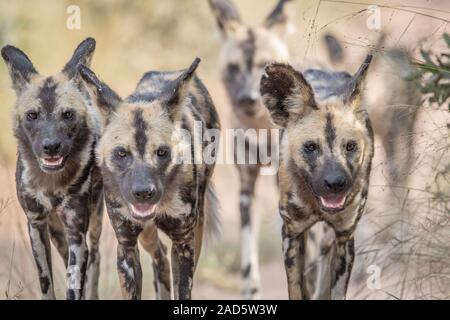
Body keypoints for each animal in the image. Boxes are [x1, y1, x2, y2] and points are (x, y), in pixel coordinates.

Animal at [0, 38, 103, 300]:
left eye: (67, 114)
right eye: (32, 115)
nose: (51, 146)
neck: (51, 184)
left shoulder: (77, 233)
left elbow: (74, 284)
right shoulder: (36, 225)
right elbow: (46, 281)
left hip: (94, 222)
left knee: (94, 259)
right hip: (57, 233)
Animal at [80, 57, 222, 300]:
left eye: (162, 152)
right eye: (121, 153)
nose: (144, 193)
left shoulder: (184, 243)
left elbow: (182, 290)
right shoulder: (126, 247)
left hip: (196, 230)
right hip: (146, 234)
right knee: (160, 257)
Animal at [207, 0, 292, 300]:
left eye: (263, 66)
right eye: (233, 68)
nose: (248, 98)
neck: (261, 128)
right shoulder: (246, 188)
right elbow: (248, 260)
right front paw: (250, 291)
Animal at [260, 55, 372, 300]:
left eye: (350, 146)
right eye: (310, 147)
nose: (336, 183)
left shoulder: (344, 238)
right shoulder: (292, 235)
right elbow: (297, 289)